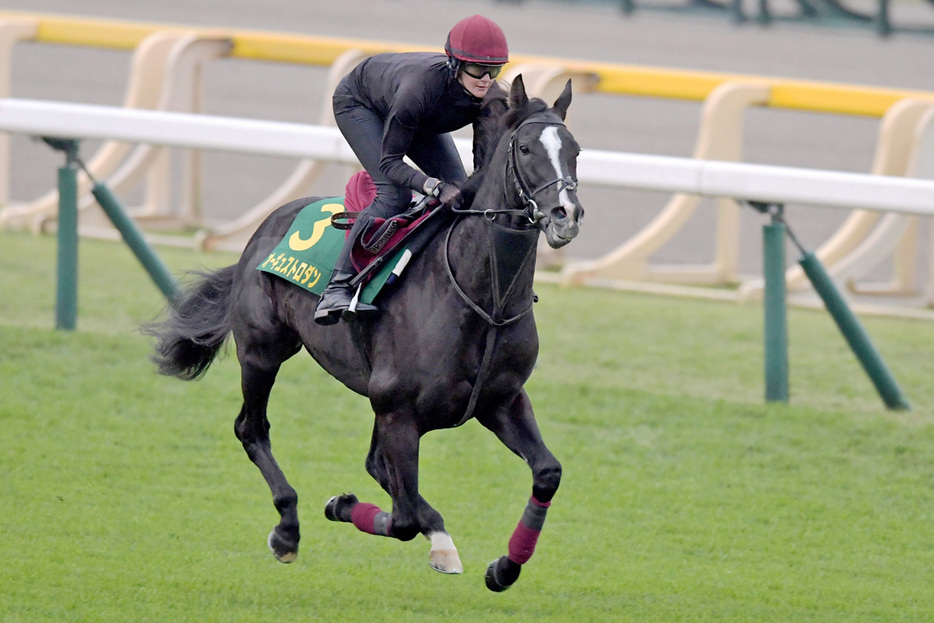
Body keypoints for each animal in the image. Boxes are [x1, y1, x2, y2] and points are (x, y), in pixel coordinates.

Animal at [144, 75, 584, 592]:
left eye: (575, 150)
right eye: (526, 148)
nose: (566, 213)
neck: (482, 298)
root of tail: (263, 229)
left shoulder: (501, 401)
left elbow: (547, 472)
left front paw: (505, 566)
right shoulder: (397, 411)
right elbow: (405, 518)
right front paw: (347, 507)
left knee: (375, 466)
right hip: (262, 351)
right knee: (252, 429)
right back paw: (288, 529)